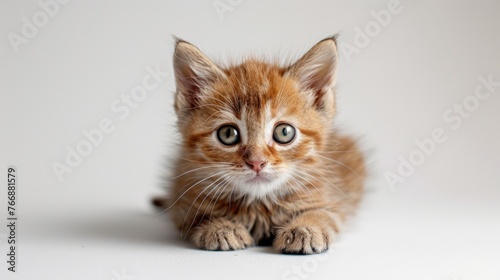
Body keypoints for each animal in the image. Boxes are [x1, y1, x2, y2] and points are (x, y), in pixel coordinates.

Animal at [156, 36, 368, 255]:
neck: (258, 204)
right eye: (227, 134)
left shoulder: (331, 196)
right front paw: (220, 227)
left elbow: (324, 213)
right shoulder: (184, 198)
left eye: (284, 132)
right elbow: (197, 215)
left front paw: (306, 227)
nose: (257, 162)